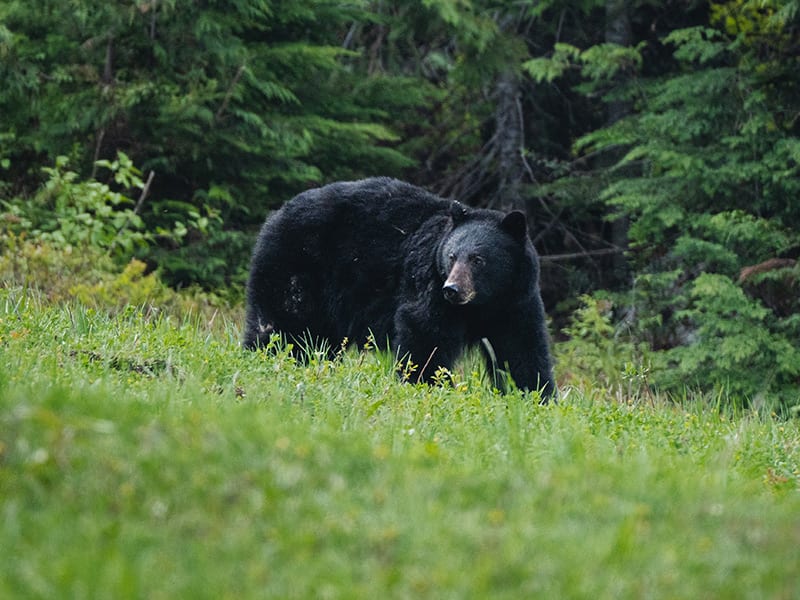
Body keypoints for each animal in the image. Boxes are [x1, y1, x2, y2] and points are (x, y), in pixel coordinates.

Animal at [243, 177, 554, 399]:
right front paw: (428, 385)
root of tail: (275, 215)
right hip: (296, 267)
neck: (483, 304)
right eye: (452, 256)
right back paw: (260, 360)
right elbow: (424, 332)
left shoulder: (516, 302)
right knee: (282, 326)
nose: (452, 289)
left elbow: (522, 348)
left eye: (478, 259)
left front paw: (535, 395)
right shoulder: (428, 283)